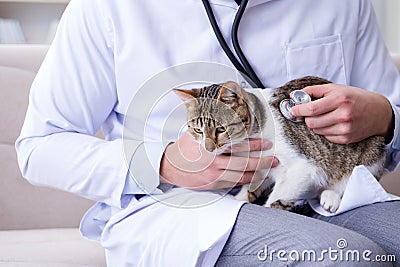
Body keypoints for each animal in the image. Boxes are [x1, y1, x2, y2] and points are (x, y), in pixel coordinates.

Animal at [173, 77, 386, 214]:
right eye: (197, 130)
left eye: (220, 129)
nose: (208, 148)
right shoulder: (261, 167)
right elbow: (253, 184)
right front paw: (241, 198)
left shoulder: (303, 167)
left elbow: (280, 195)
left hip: (371, 153)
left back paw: (331, 196)